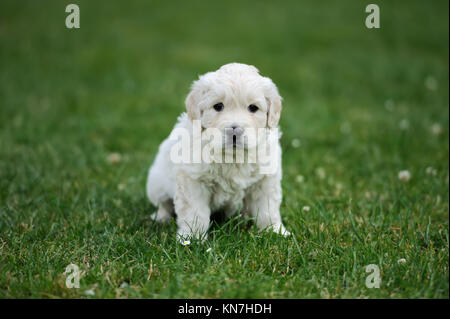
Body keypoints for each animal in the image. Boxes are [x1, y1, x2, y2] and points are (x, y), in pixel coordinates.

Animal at [146, 62, 290, 242]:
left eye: (253, 108)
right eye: (218, 106)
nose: (234, 131)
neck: (232, 156)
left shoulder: (265, 180)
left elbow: (268, 209)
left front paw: (275, 232)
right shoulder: (193, 180)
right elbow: (194, 212)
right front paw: (192, 238)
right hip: (156, 183)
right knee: (163, 204)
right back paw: (161, 218)